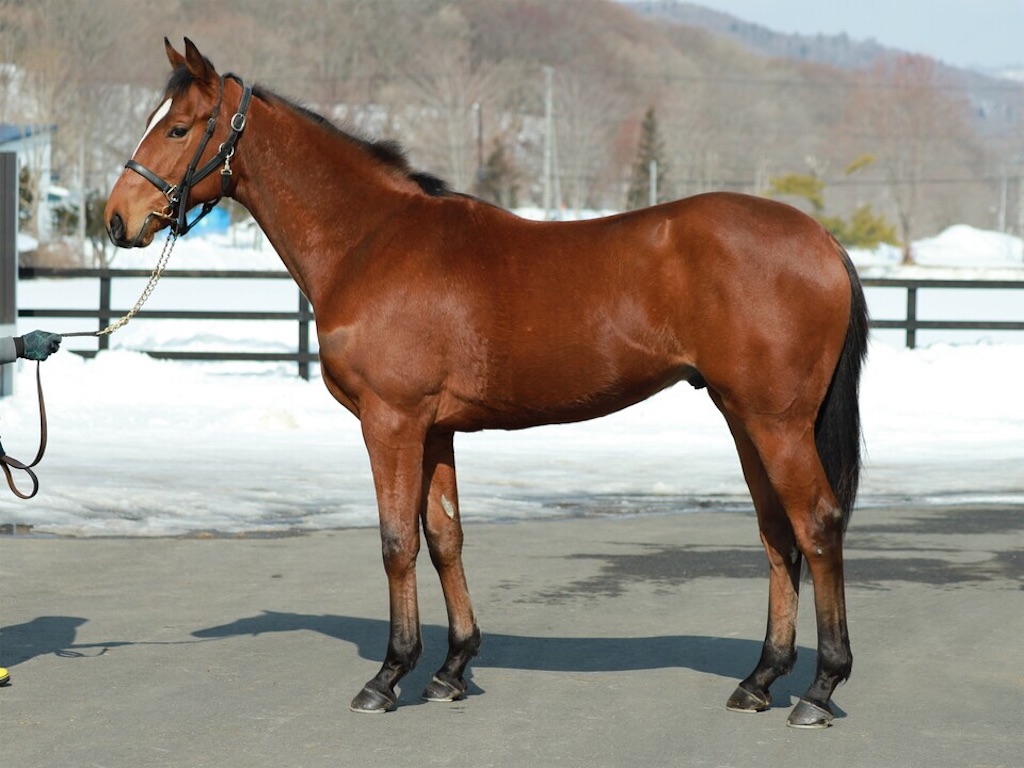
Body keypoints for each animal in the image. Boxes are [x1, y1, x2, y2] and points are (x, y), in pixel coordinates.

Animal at [105, 38, 868, 729]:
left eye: (178, 128)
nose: (116, 218)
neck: (371, 240)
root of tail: (823, 240)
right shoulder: (435, 429)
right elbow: (445, 537)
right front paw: (451, 667)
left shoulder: (391, 421)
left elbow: (396, 541)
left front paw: (388, 676)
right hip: (745, 418)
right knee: (777, 535)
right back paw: (760, 679)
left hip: (775, 423)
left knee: (816, 524)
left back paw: (819, 689)